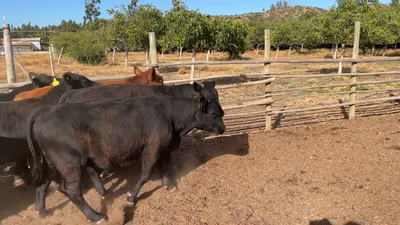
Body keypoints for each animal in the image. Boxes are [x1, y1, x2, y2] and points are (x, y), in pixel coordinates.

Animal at [27, 96, 225, 222]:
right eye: (214, 114)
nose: (223, 129)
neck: (169, 114)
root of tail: (45, 110)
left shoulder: (163, 150)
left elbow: (164, 167)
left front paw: (169, 185)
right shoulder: (152, 149)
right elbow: (146, 174)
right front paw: (131, 197)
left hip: (50, 163)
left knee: (43, 184)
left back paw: (43, 212)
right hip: (70, 164)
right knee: (71, 190)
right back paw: (96, 216)